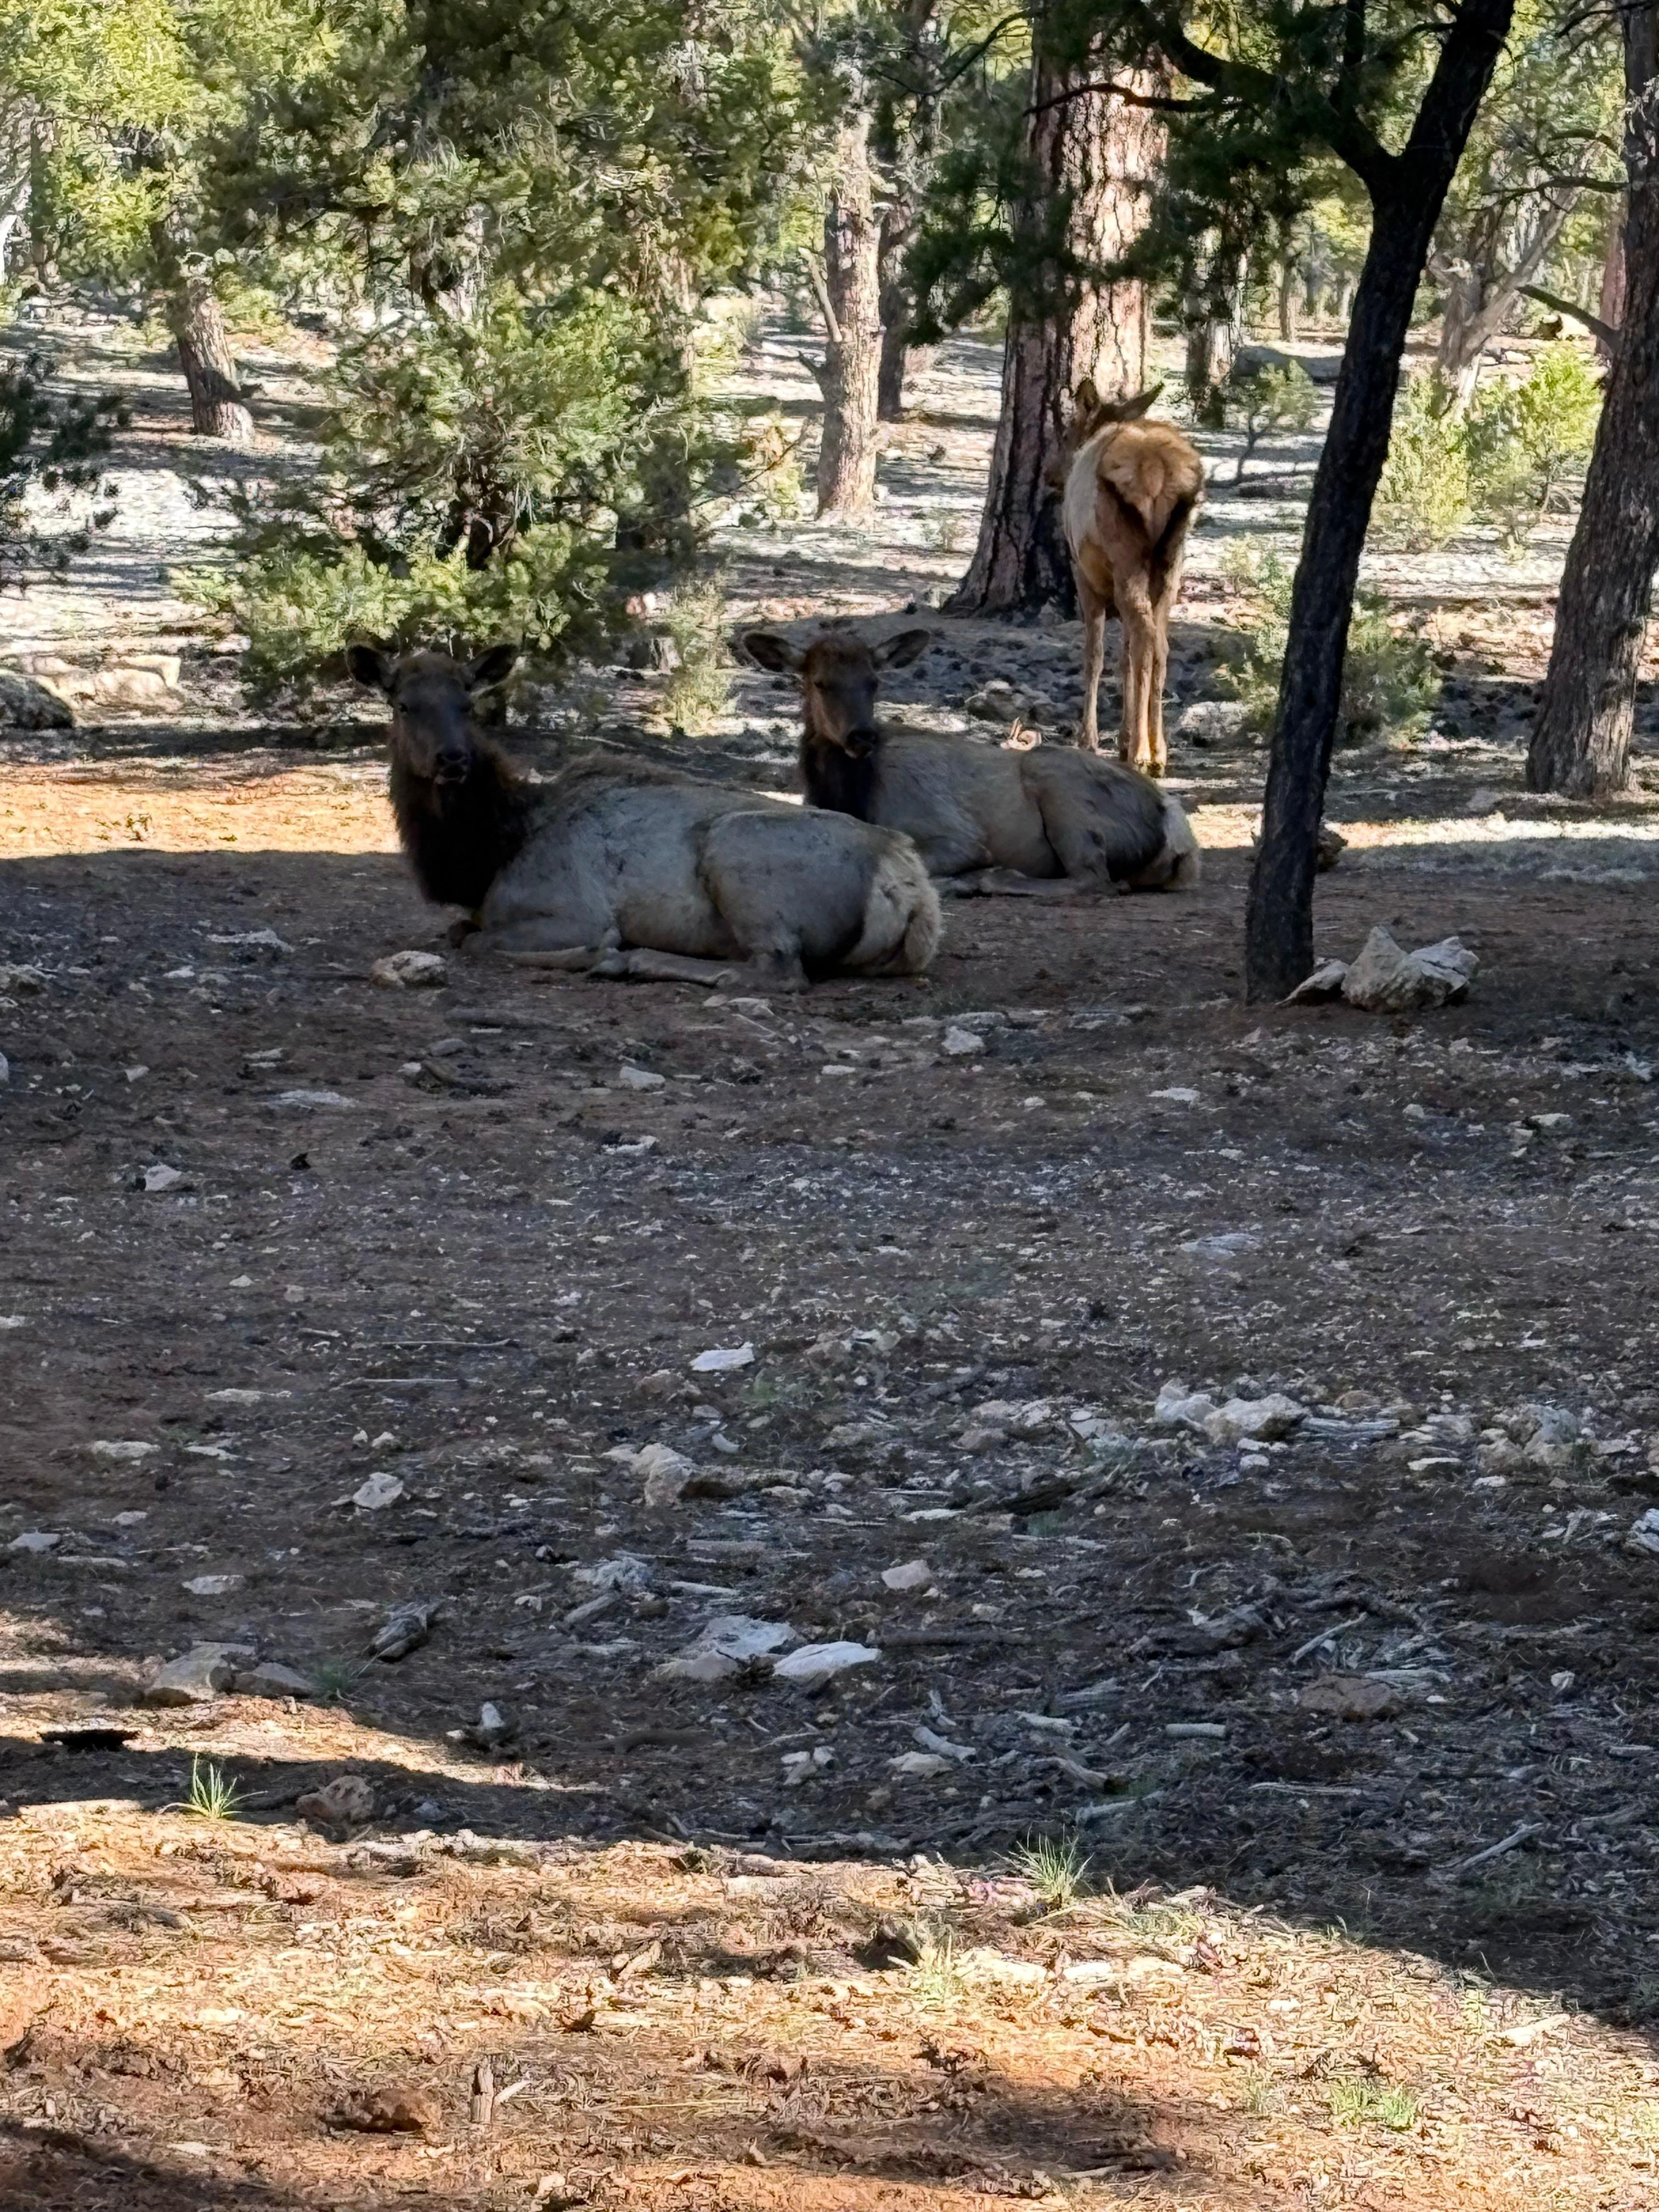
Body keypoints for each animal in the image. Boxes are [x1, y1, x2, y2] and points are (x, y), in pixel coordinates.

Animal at [348, 642, 942, 990]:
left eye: (466, 705)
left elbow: (475, 941)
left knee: (778, 970)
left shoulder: (567, 910)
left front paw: (604, 952)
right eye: (404, 704)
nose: (453, 759)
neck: (489, 852)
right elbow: (457, 931)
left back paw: (640, 961)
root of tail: (913, 893)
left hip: (738, 851)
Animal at [741, 625, 1199, 894]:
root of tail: (1174, 825)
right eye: (820, 682)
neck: (851, 798)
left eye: (874, 681)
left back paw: (990, 879)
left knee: (1095, 880)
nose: (862, 735)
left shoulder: (955, 834)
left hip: (1059, 785)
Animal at [1059, 379, 1205, 775]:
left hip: (1125, 552)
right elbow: (1123, 657)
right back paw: (1158, 749)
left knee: (1144, 636)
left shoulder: (1085, 575)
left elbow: (1094, 655)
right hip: (1172, 559)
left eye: (1070, 430)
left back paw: (1143, 752)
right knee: (1160, 642)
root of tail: (1156, 471)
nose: (1051, 472)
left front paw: (1091, 739)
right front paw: (1122, 738)